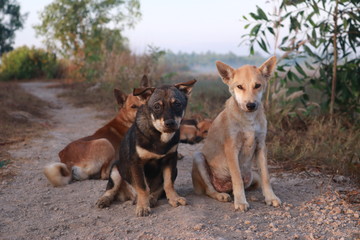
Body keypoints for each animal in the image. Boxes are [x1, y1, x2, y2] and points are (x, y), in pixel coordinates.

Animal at [96, 79, 197, 216]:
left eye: (177, 104)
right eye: (156, 106)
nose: (170, 123)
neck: (159, 135)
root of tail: (131, 196)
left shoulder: (170, 160)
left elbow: (168, 183)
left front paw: (174, 198)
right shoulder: (137, 163)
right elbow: (143, 187)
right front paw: (143, 206)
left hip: (175, 170)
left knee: (157, 190)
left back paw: (152, 199)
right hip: (115, 170)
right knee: (110, 190)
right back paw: (104, 200)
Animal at [191, 56, 282, 210]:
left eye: (257, 85)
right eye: (239, 87)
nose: (251, 105)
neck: (248, 119)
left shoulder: (261, 146)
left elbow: (266, 177)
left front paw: (271, 197)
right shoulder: (231, 148)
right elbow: (237, 178)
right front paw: (240, 202)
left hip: (252, 177)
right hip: (198, 158)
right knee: (210, 189)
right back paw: (222, 195)